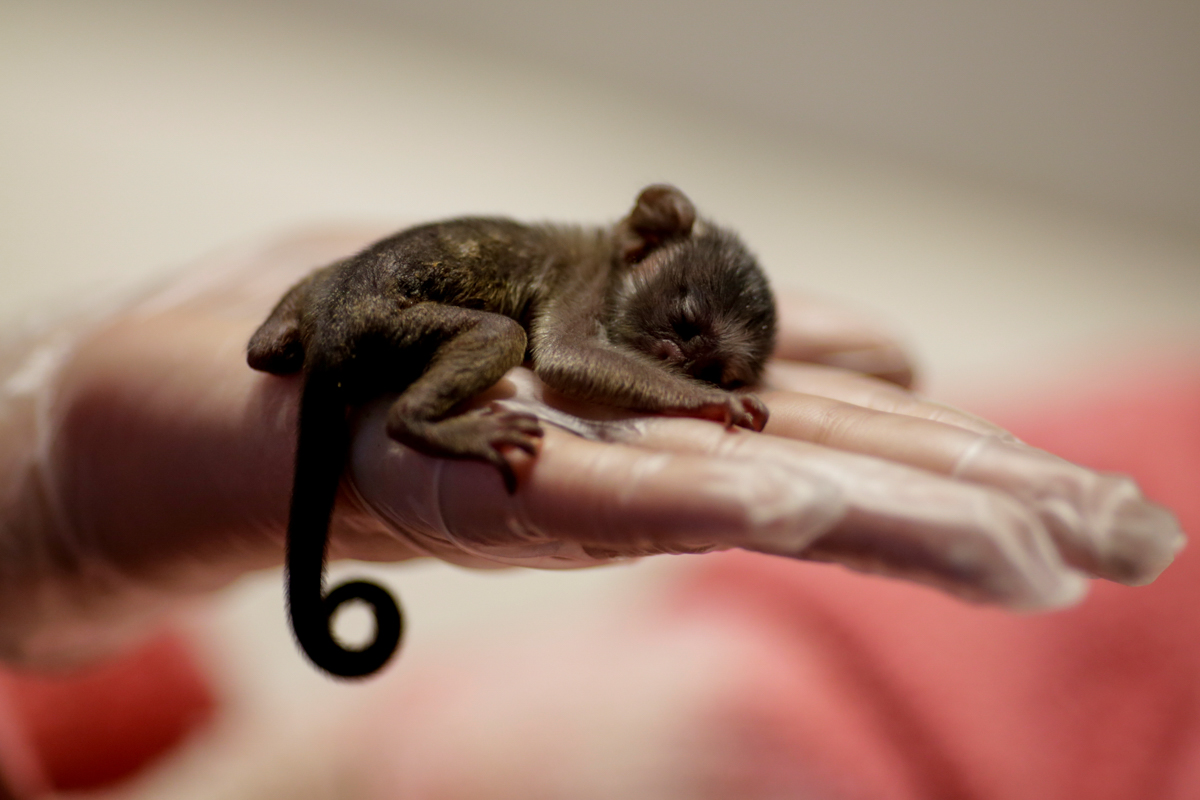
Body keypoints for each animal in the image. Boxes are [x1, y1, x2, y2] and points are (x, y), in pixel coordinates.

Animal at [247, 184, 777, 678]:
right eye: (685, 322)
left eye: (711, 369)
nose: (676, 362)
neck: (610, 256)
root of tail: (335, 324)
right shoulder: (586, 282)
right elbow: (568, 355)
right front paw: (714, 404)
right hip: (388, 324)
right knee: (499, 333)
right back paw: (424, 423)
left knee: (264, 350)